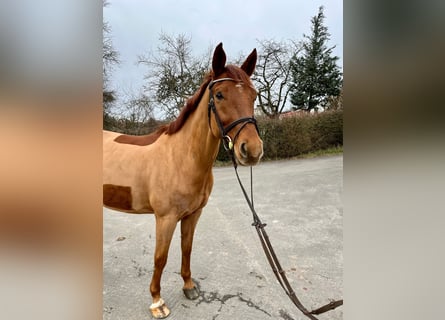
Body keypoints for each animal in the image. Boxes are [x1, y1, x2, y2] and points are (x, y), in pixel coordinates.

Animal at [103, 43, 264, 318]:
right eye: (219, 95)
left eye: (254, 96)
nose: (252, 150)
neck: (181, 157)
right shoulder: (165, 218)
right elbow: (160, 258)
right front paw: (157, 302)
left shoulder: (193, 214)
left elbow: (186, 249)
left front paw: (189, 287)